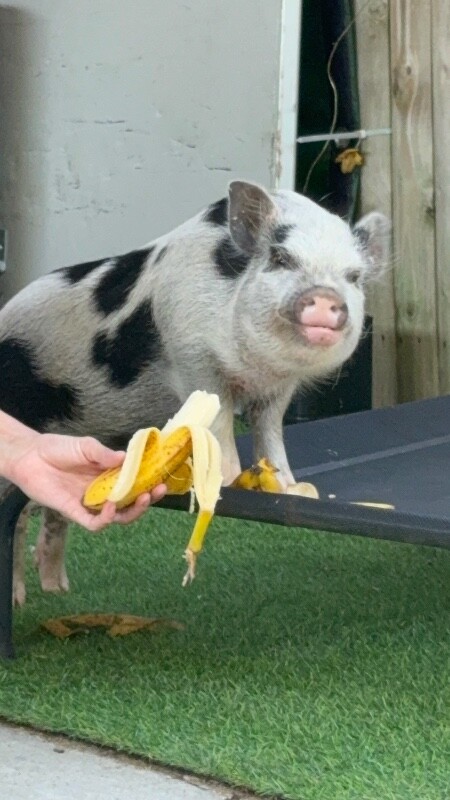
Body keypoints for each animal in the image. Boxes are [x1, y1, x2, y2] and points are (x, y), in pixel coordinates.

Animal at [0, 180, 389, 604]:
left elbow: (270, 432)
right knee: (18, 519)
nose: (325, 297)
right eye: (281, 258)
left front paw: (294, 487)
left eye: (353, 277)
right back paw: (19, 599)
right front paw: (228, 478)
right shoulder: (194, 360)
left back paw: (59, 591)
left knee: (52, 514)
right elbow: (219, 420)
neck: (256, 369)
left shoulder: (278, 390)